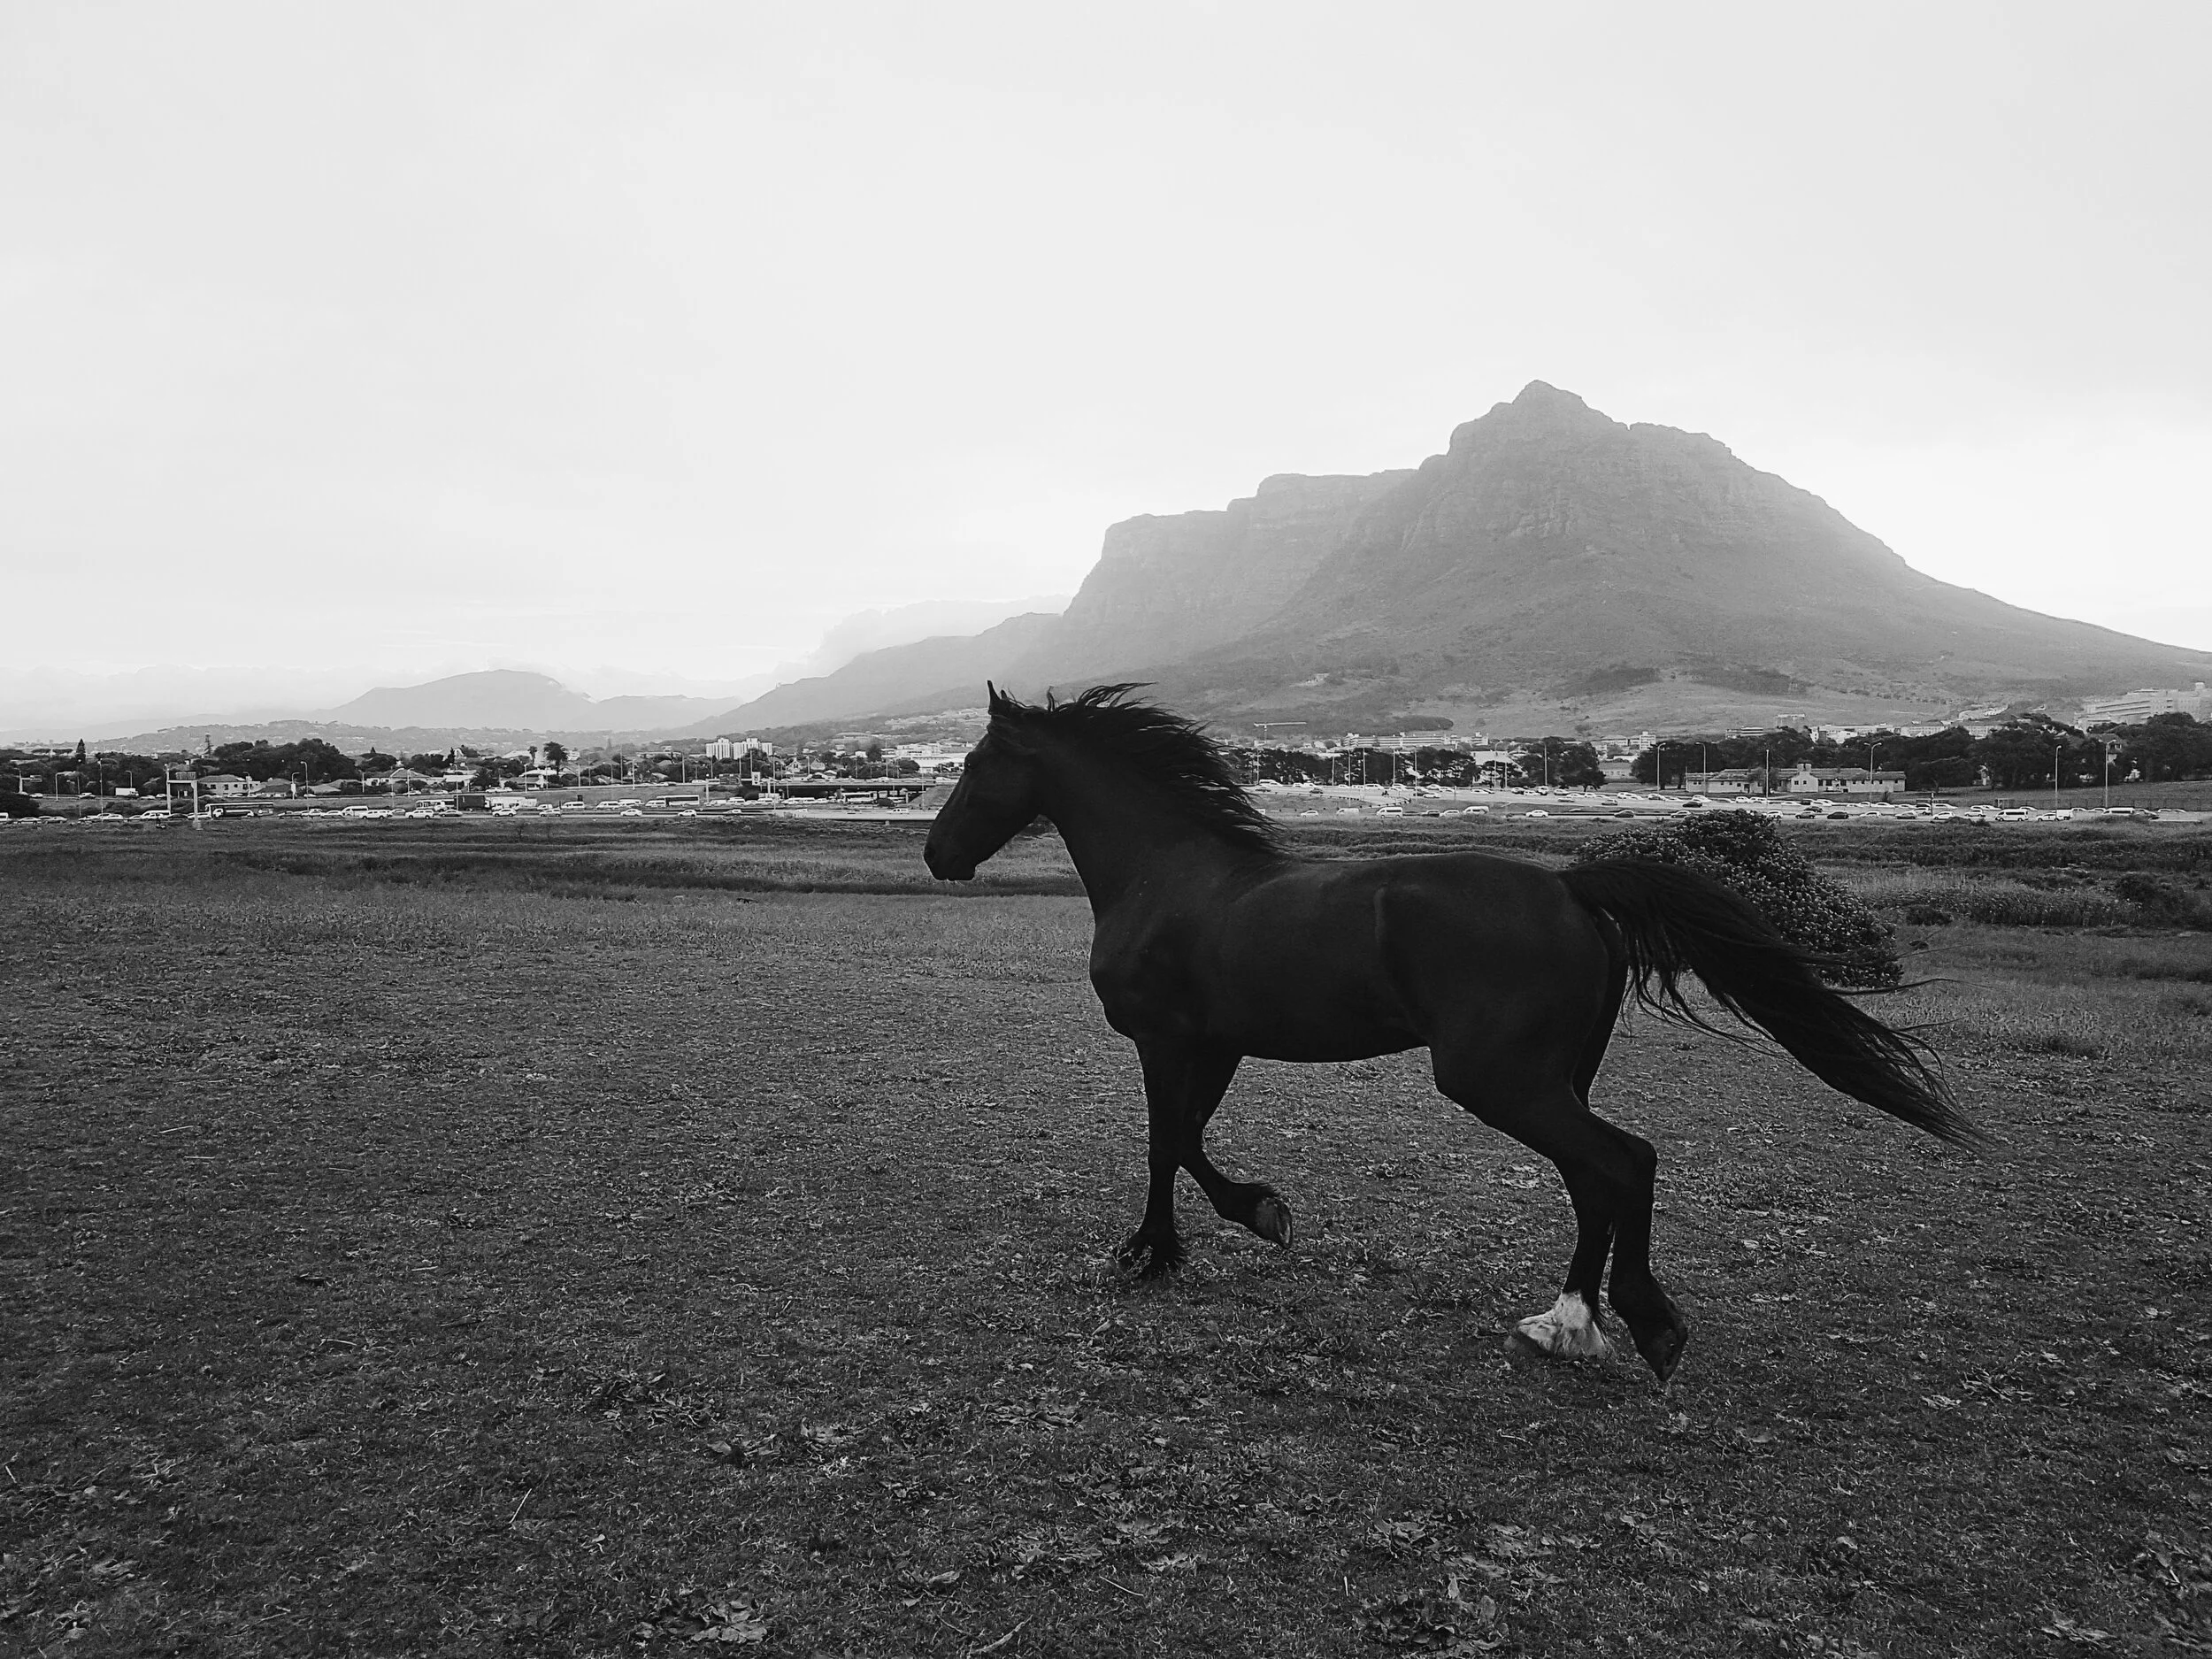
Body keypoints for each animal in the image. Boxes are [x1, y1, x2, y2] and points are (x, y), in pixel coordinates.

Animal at [922, 684, 1973, 1381]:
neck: (1164, 874)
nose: (936, 855)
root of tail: (1570, 888)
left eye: (973, 766)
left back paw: (1642, 1325)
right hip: (1554, 1077)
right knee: (1594, 1177)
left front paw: (1172, 1245)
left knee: (1622, 1162)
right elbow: (1181, 1139)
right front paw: (1218, 1227)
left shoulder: (1167, 1041)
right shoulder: (1213, 1045)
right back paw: (1565, 1322)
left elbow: (1165, 1142)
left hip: (1496, 1078)